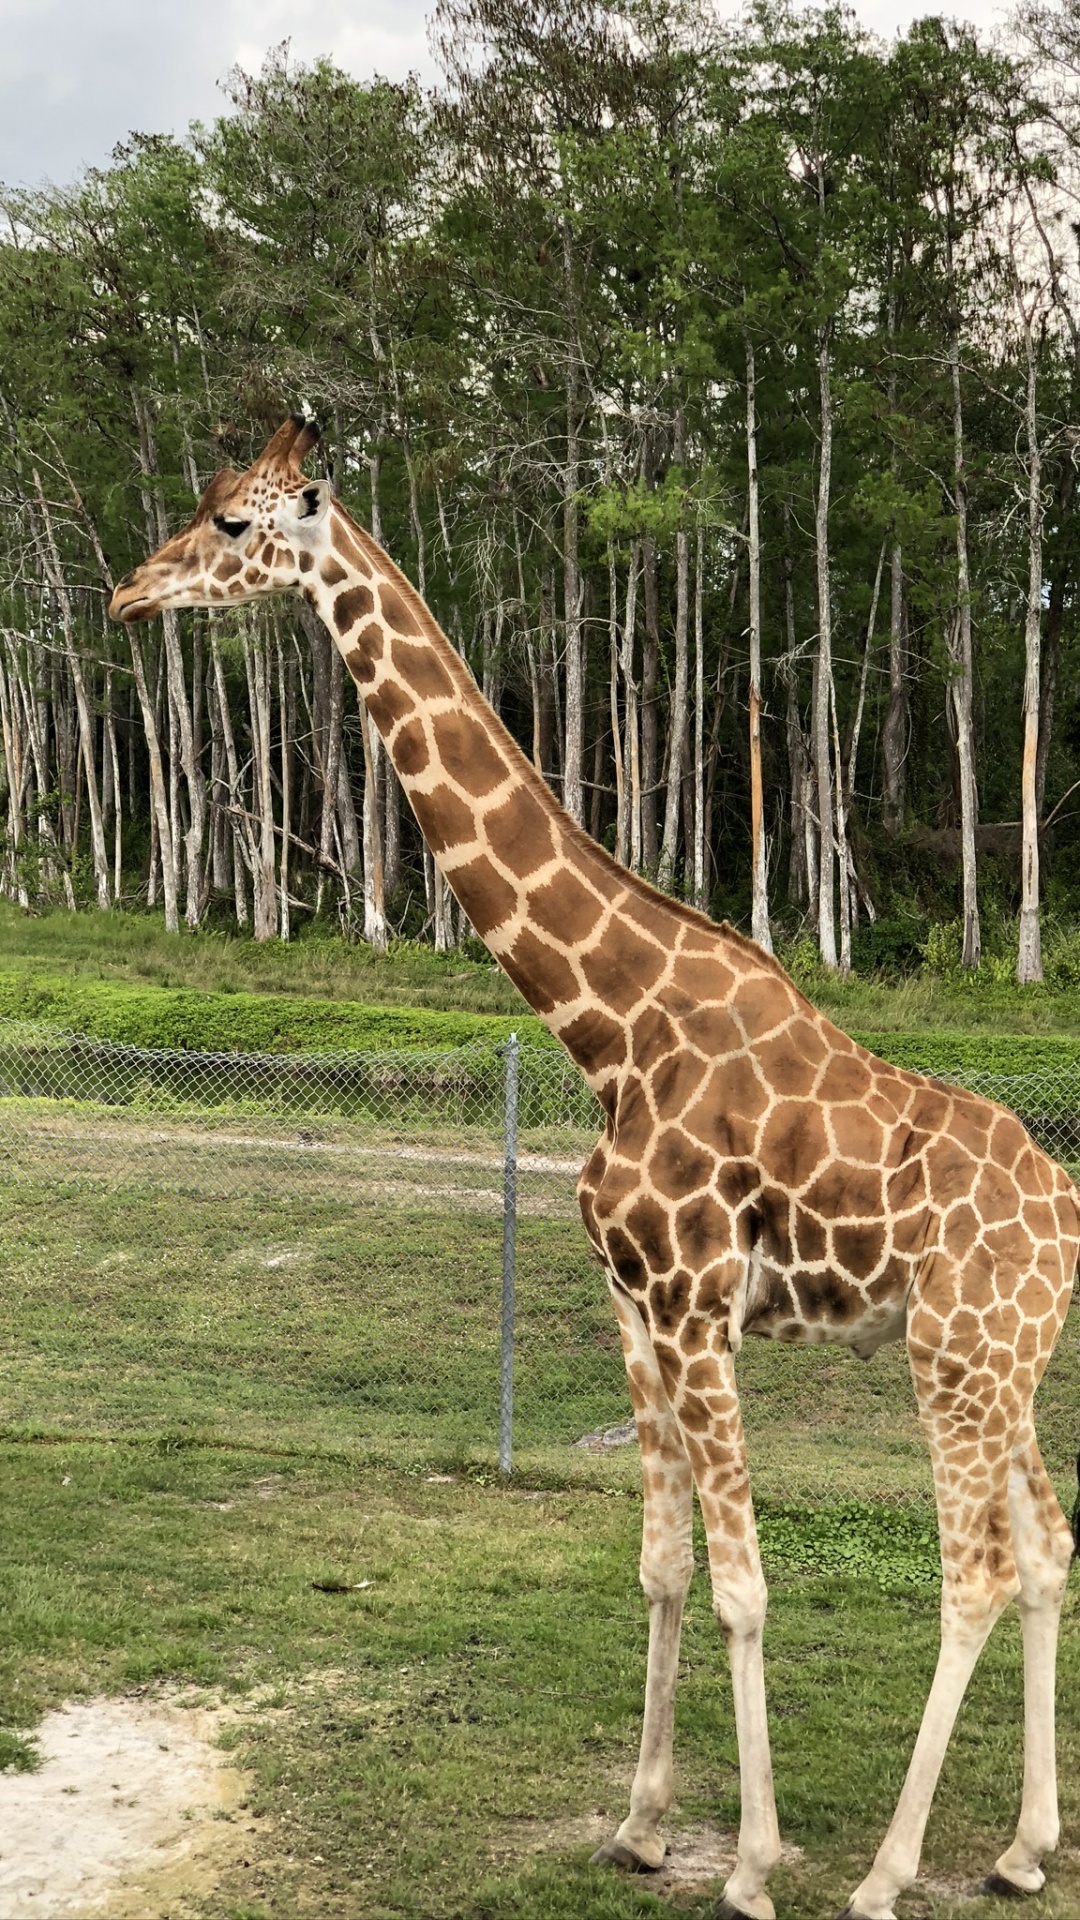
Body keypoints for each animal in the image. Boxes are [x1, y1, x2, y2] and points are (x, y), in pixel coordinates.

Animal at [110, 415, 1079, 1920]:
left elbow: (744, 1585)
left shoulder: (695, 1304)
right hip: (1002, 1360)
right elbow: (665, 1567)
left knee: (974, 1571)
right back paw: (1023, 1849)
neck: (610, 1025)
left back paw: (885, 1874)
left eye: (228, 522)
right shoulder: (630, 1307)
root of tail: (1069, 1209)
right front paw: (639, 1823)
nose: (125, 595)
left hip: (958, 1358)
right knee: (1045, 1551)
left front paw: (751, 1865)